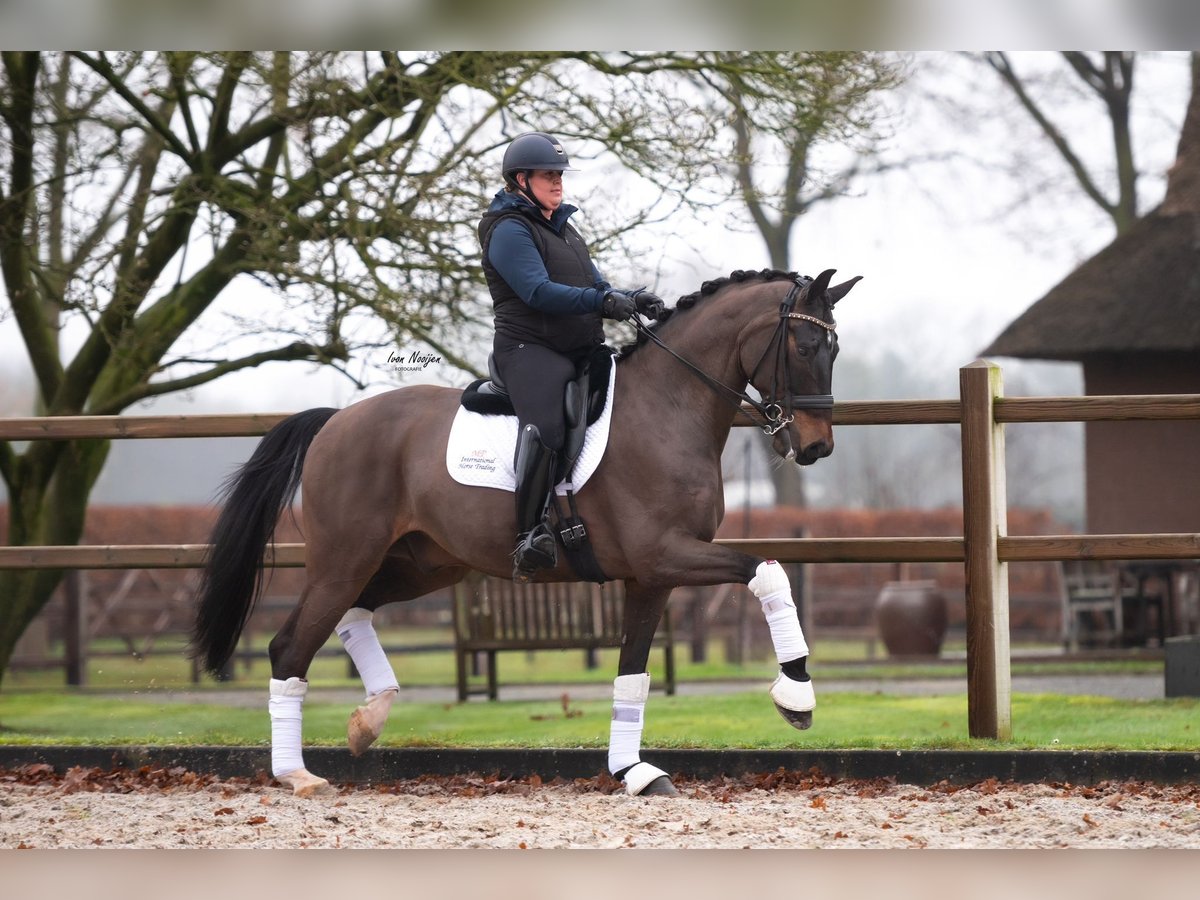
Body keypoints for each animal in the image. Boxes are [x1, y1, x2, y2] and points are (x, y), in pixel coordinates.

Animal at [192, 266, 859, 796]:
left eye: (834, 349)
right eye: (804, 345)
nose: (818, 448)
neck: (668, 408)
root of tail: (335, 422)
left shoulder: (652, 577)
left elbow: (633, 676)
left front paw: (635, 773)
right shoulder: (667, 555)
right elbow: (767, 572)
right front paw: (796, 696)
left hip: (424, 564)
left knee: (354, 613)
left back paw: (369, 719)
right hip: (345, 560)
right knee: (290, 647)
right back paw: (296, 774)